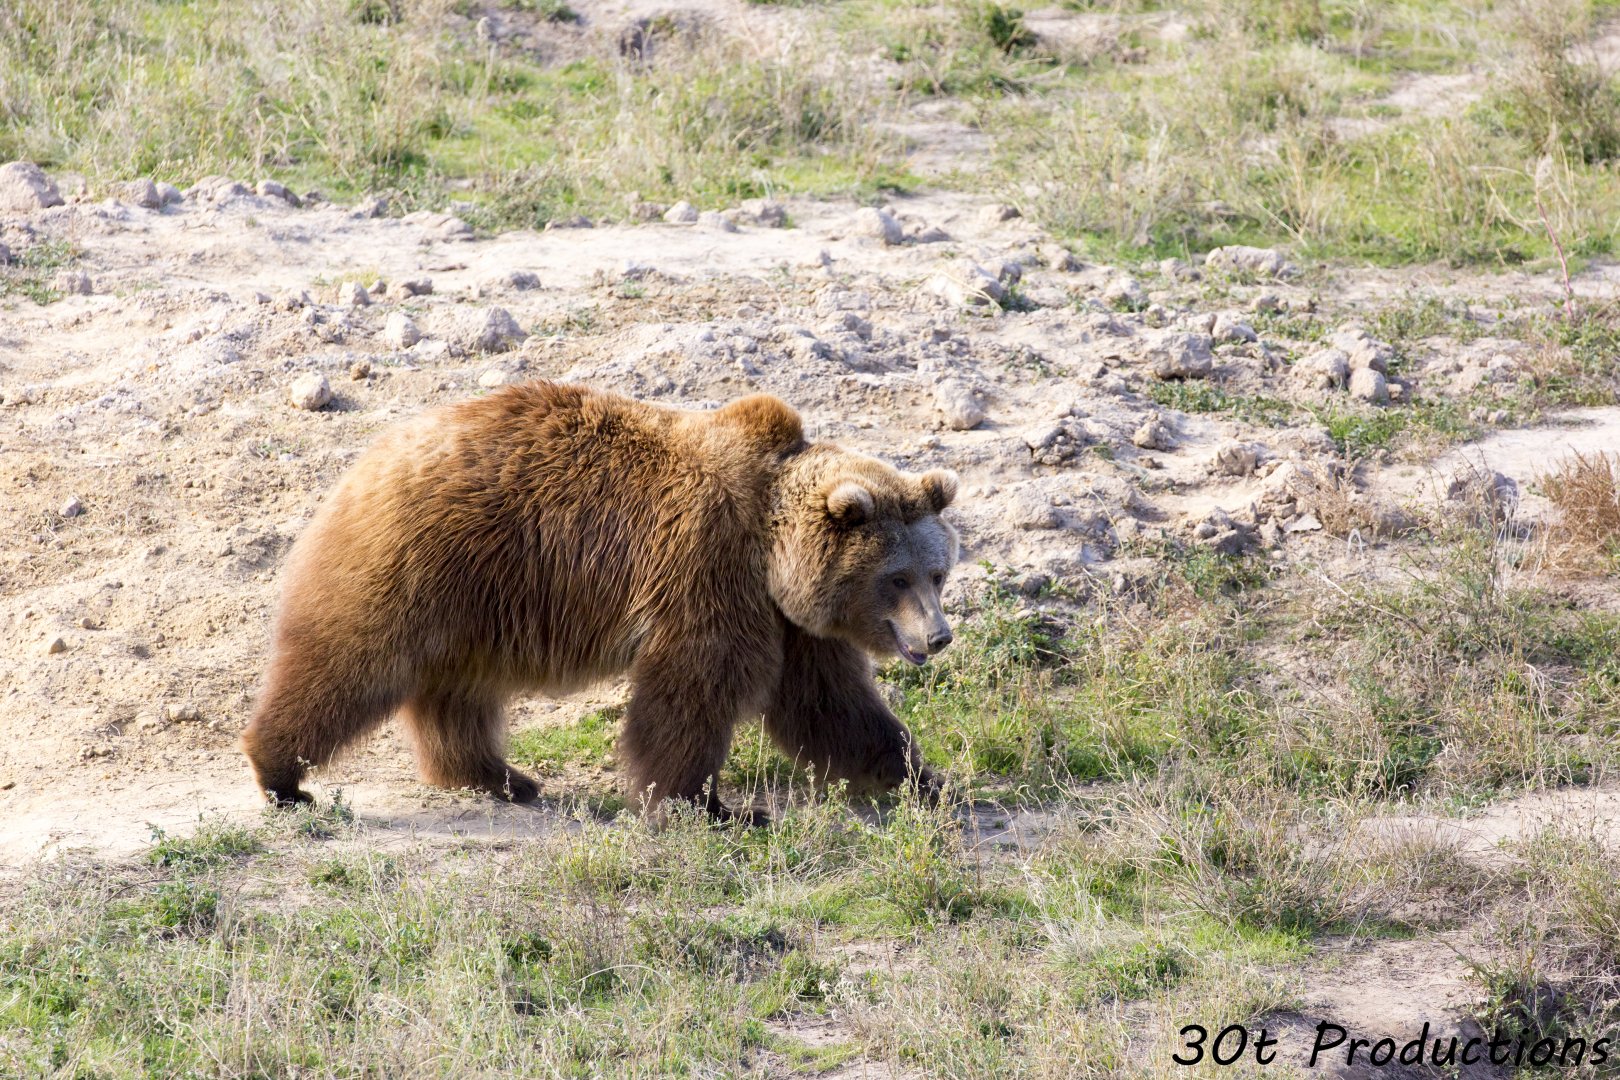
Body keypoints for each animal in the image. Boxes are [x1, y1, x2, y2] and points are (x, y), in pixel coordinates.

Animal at [240, 380, 960, 821]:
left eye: (937, 572)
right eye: (898, 578)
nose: (939, 636)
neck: (769, 543)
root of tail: (372, 455)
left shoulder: (789, 621)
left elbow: (832, 706)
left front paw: (926, 781)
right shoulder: (707, 568)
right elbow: (692, 692)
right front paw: (709, 806)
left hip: (474, 599)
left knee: (457, 693)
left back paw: (501, 776)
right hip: (420, 557)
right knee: (350, 660)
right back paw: (281, 775)